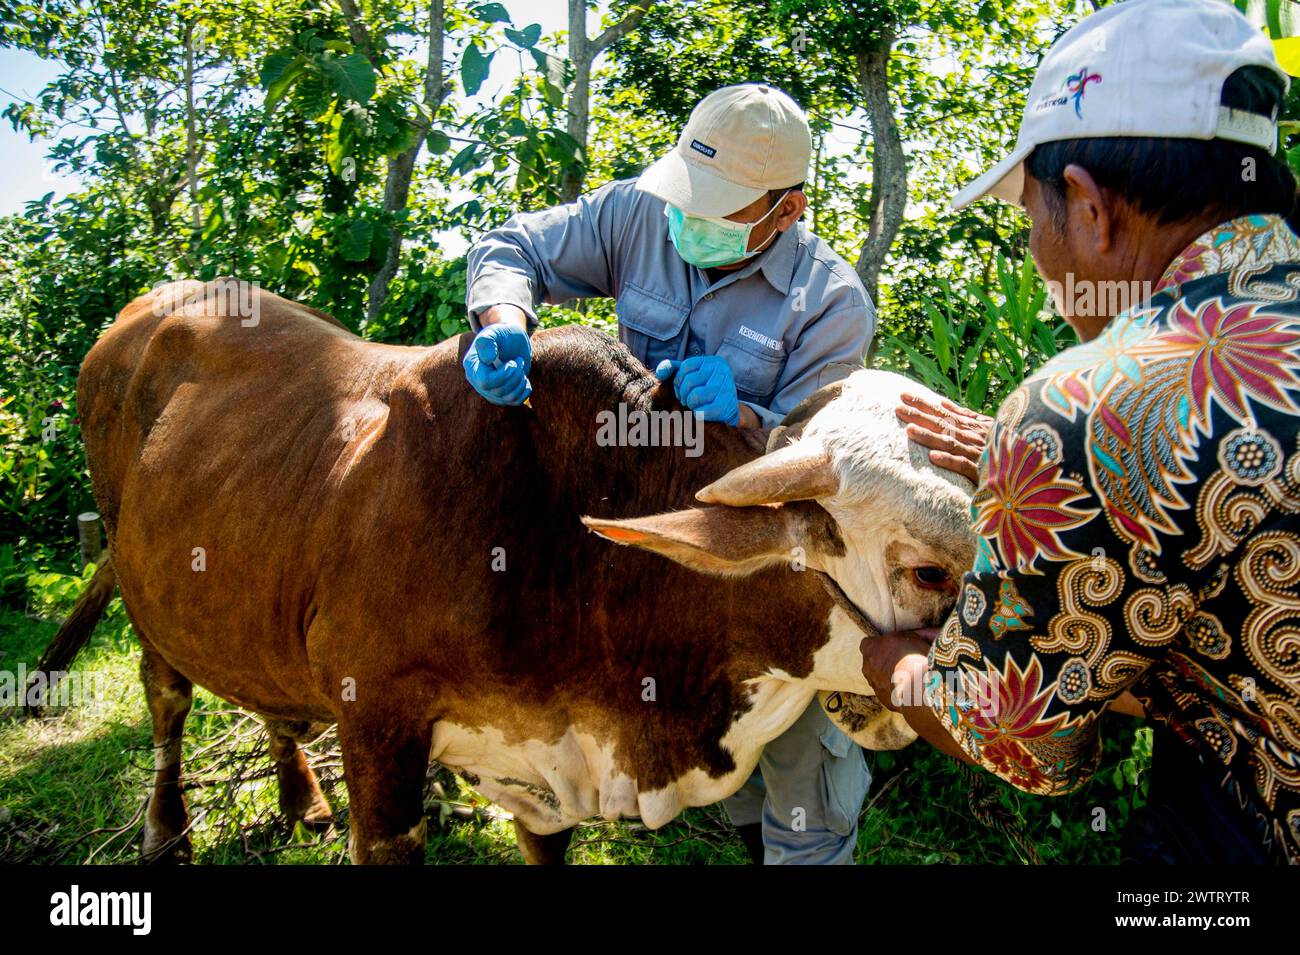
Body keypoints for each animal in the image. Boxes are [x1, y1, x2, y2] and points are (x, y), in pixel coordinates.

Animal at [63, 278, 977, 867]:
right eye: (931, 572)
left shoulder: (543, 770)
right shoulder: (379, 733)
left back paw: (300, 797)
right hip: (146, 594)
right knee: (166, 696)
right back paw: (165, 831)